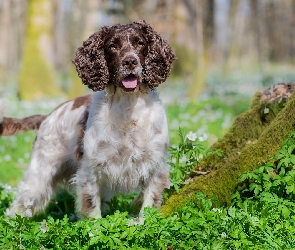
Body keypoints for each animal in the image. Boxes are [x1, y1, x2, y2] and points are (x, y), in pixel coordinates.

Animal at [2, 20, 177, 223]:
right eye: (112, 46)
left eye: (140, 43)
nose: (130, 61)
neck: (127, 107)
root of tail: (48, 116)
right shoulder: (91, 169)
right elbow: (92, 210)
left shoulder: (155, 166)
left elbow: (148, 206)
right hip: (40, 173)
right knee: (20, 203)